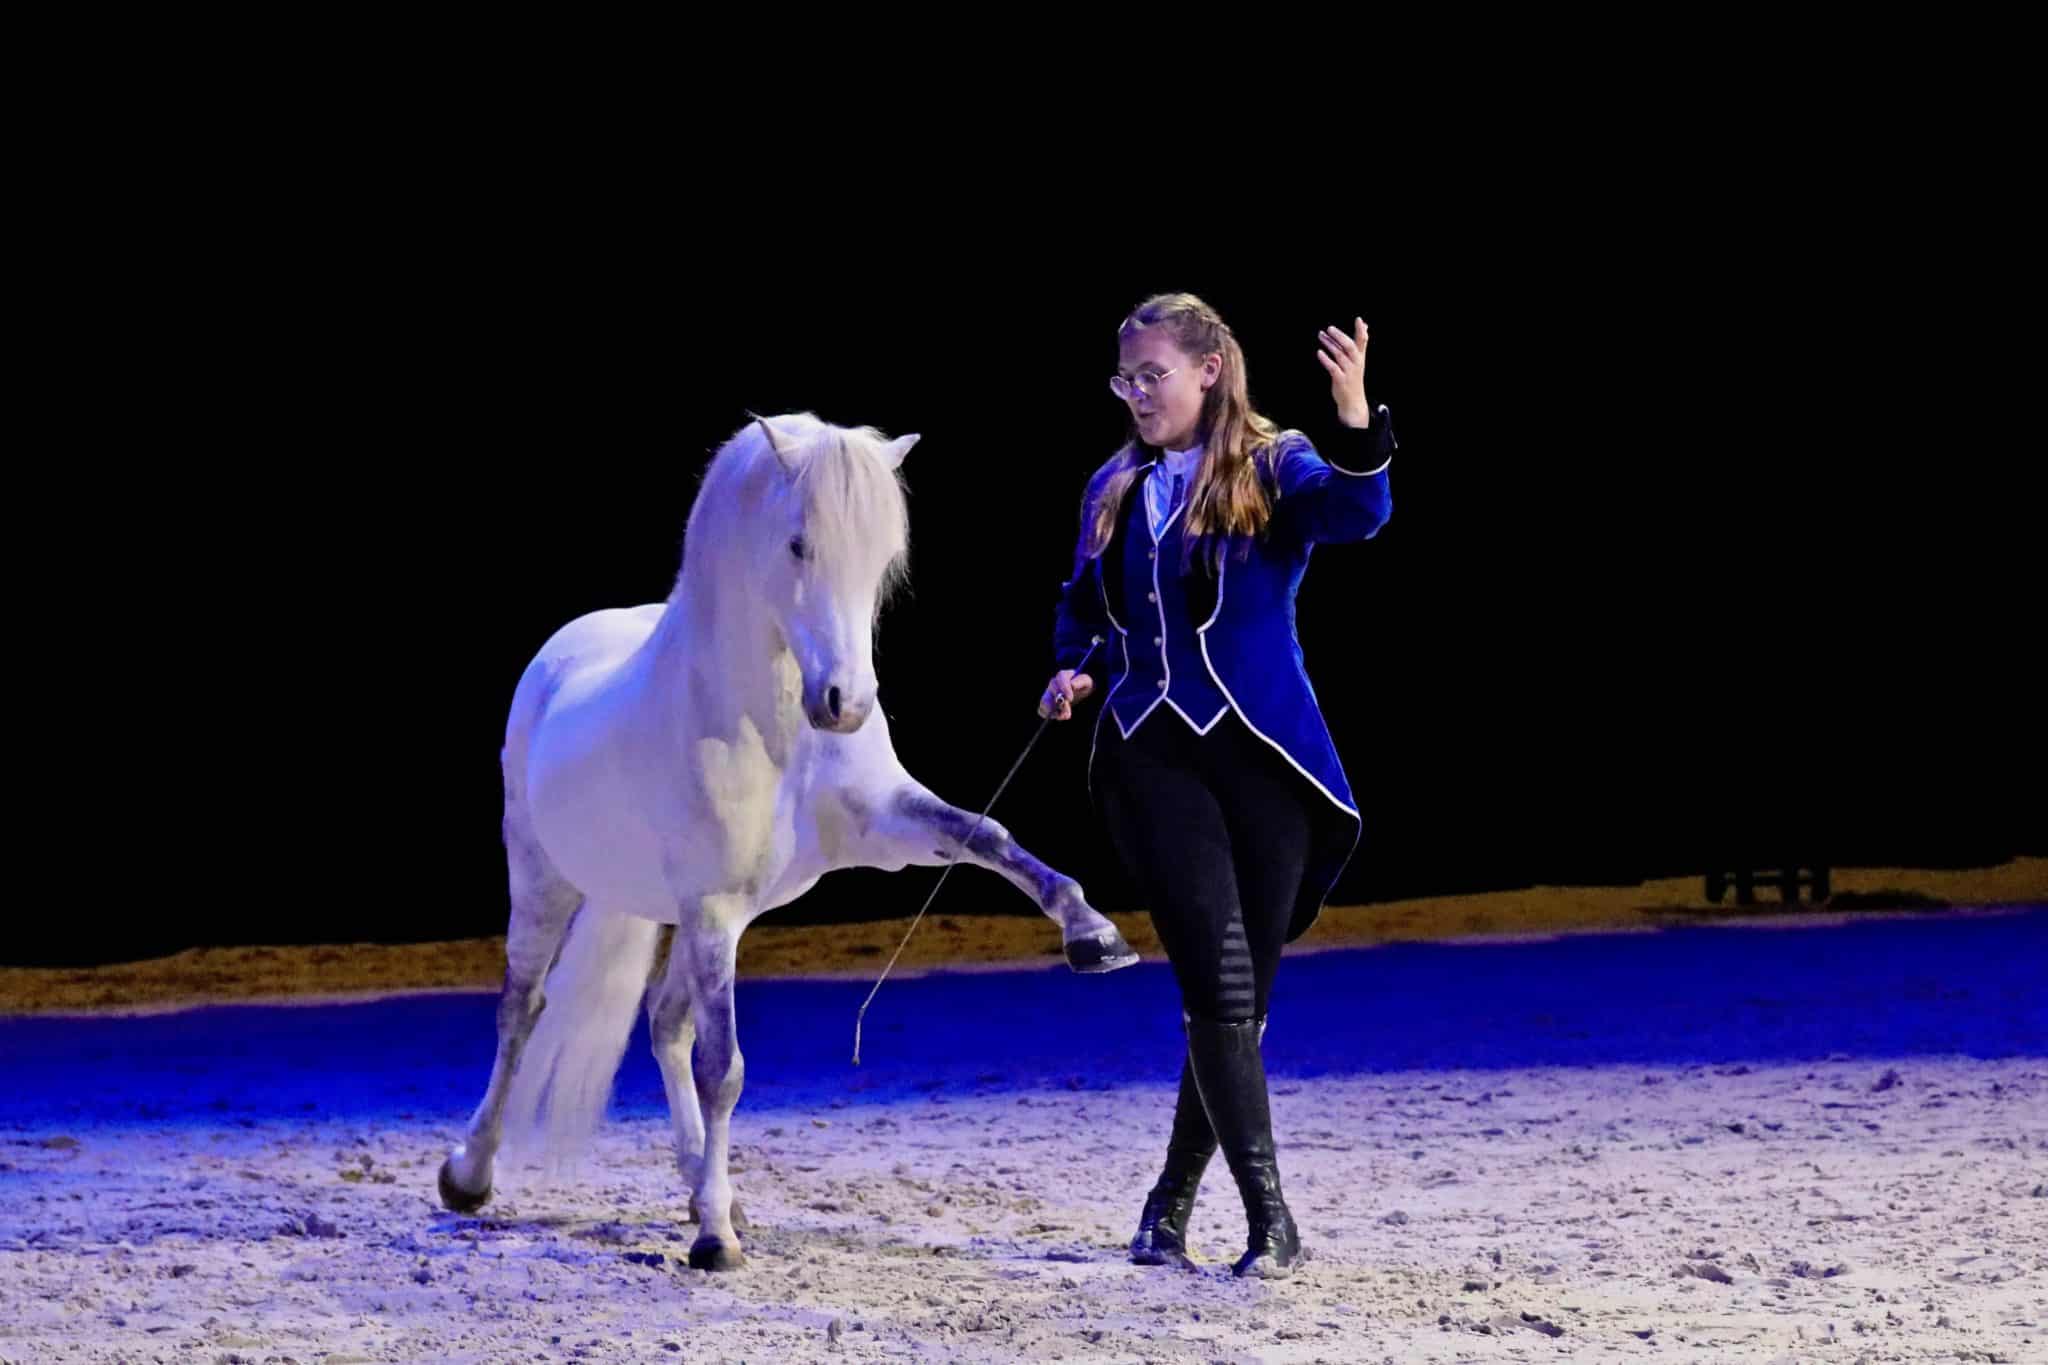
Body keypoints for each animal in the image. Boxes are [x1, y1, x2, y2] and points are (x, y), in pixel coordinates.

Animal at [440, 413, 1138, 1268]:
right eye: (798, 544)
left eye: (882, 555)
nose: (846, 703)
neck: (771, 726)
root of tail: (560, 653)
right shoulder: (713, 907)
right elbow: (723, 1068)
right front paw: (716, 1240)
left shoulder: (884, 828)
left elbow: (991, 834)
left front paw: (1093, 932)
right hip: (548, 880)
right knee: (523, 1009)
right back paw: (471, 1175)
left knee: (663, 1021)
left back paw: (701, 1183)